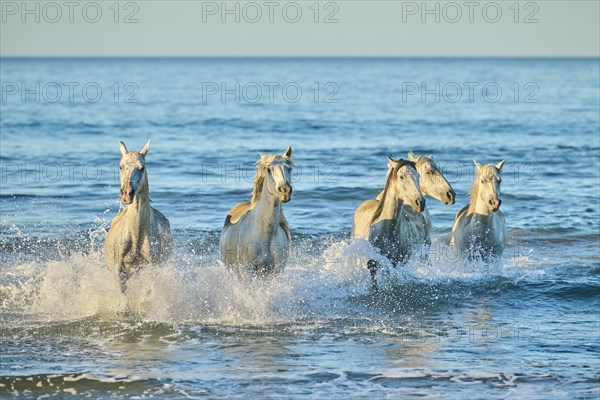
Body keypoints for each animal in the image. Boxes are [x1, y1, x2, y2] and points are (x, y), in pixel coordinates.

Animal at [103, 141, 171, 294]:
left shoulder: (152, 268)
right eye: (120, 166)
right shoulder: (119, 270)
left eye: (141, 167)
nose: (127, 193)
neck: (136, 235)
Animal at [220, 148, 296, 278]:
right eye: (269, 169)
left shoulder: (275, 270)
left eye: (289, 168)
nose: (285, 191)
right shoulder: (247, 269)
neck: (265, 233)